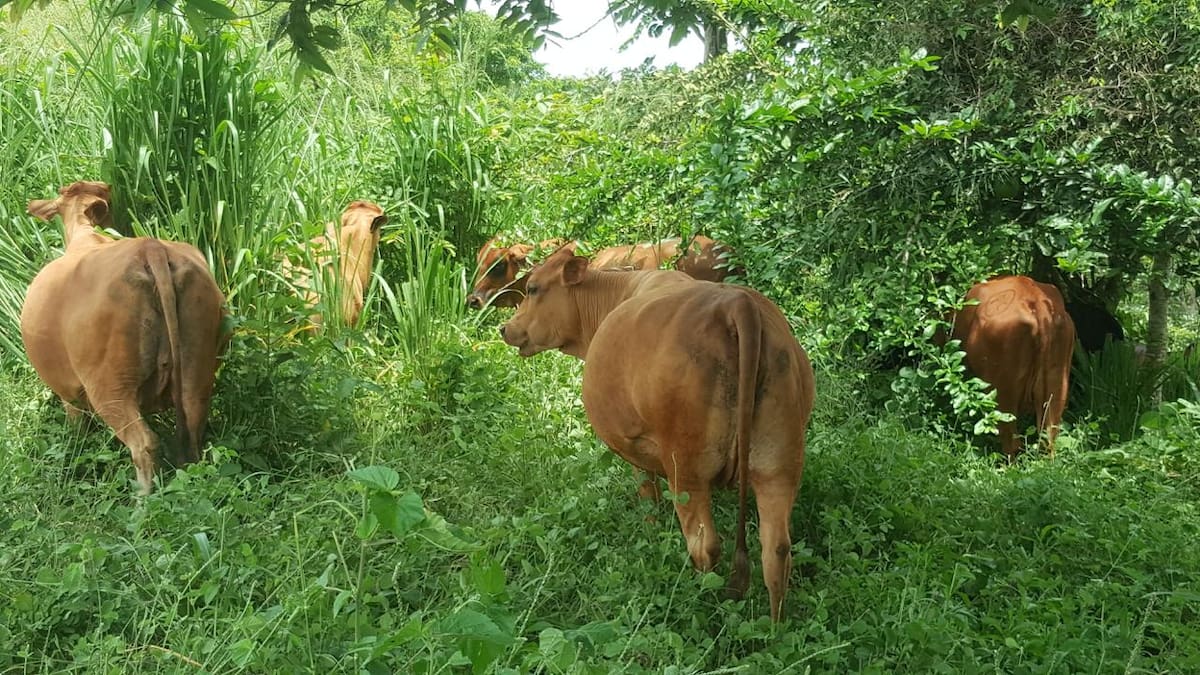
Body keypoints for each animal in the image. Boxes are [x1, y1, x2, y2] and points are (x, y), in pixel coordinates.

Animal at [22, 181, 226, 494]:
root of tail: (150, 248)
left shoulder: (68, 393)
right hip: (198, 366)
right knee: (193, 425)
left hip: (110, 387)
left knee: (143, 442)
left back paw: (142, 498)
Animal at [499, 248, 815, 621]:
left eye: (533, 288)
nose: (505, 328)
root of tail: (735, 303)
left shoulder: (635, 445)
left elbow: (647, 491)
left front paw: (650, 526)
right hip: (779, 462)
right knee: (776, 550)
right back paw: (775, 627)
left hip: (686, 469)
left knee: (705, 545)